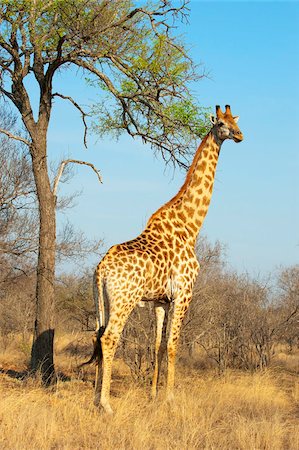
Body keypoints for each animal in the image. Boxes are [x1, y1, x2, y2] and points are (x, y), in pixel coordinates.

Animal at [88, 103, 243, 414]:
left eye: (235, 121)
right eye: (221, 124)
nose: (240, 135)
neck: (190, 226)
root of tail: (101, 269)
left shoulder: (160, 300)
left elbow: (157, 345)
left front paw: (153, 397)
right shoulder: (185, 293)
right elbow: (172, 345)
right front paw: (170, 399)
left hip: (105, 300)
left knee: (97, 335)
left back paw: (96, 399)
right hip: (125, 299)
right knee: (110, 338)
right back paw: (106, 404)